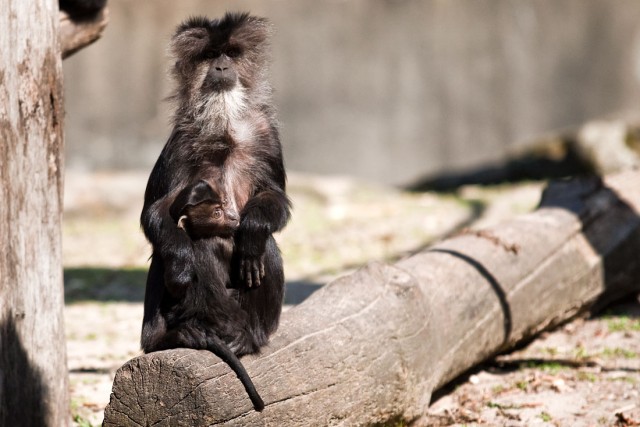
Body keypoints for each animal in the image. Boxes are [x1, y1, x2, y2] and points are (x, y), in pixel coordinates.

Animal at [141, 12, 292, 358]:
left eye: (231, 53)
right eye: (210, 55)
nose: (221, 68)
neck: (225, 130)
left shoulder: (267, 134)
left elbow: (275, 198)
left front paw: (252, 230)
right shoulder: (179, 141)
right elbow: (156, 211)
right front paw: (182, 266)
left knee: (266, 247)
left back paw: (248, 337)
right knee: (172, 247)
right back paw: (167, 338)